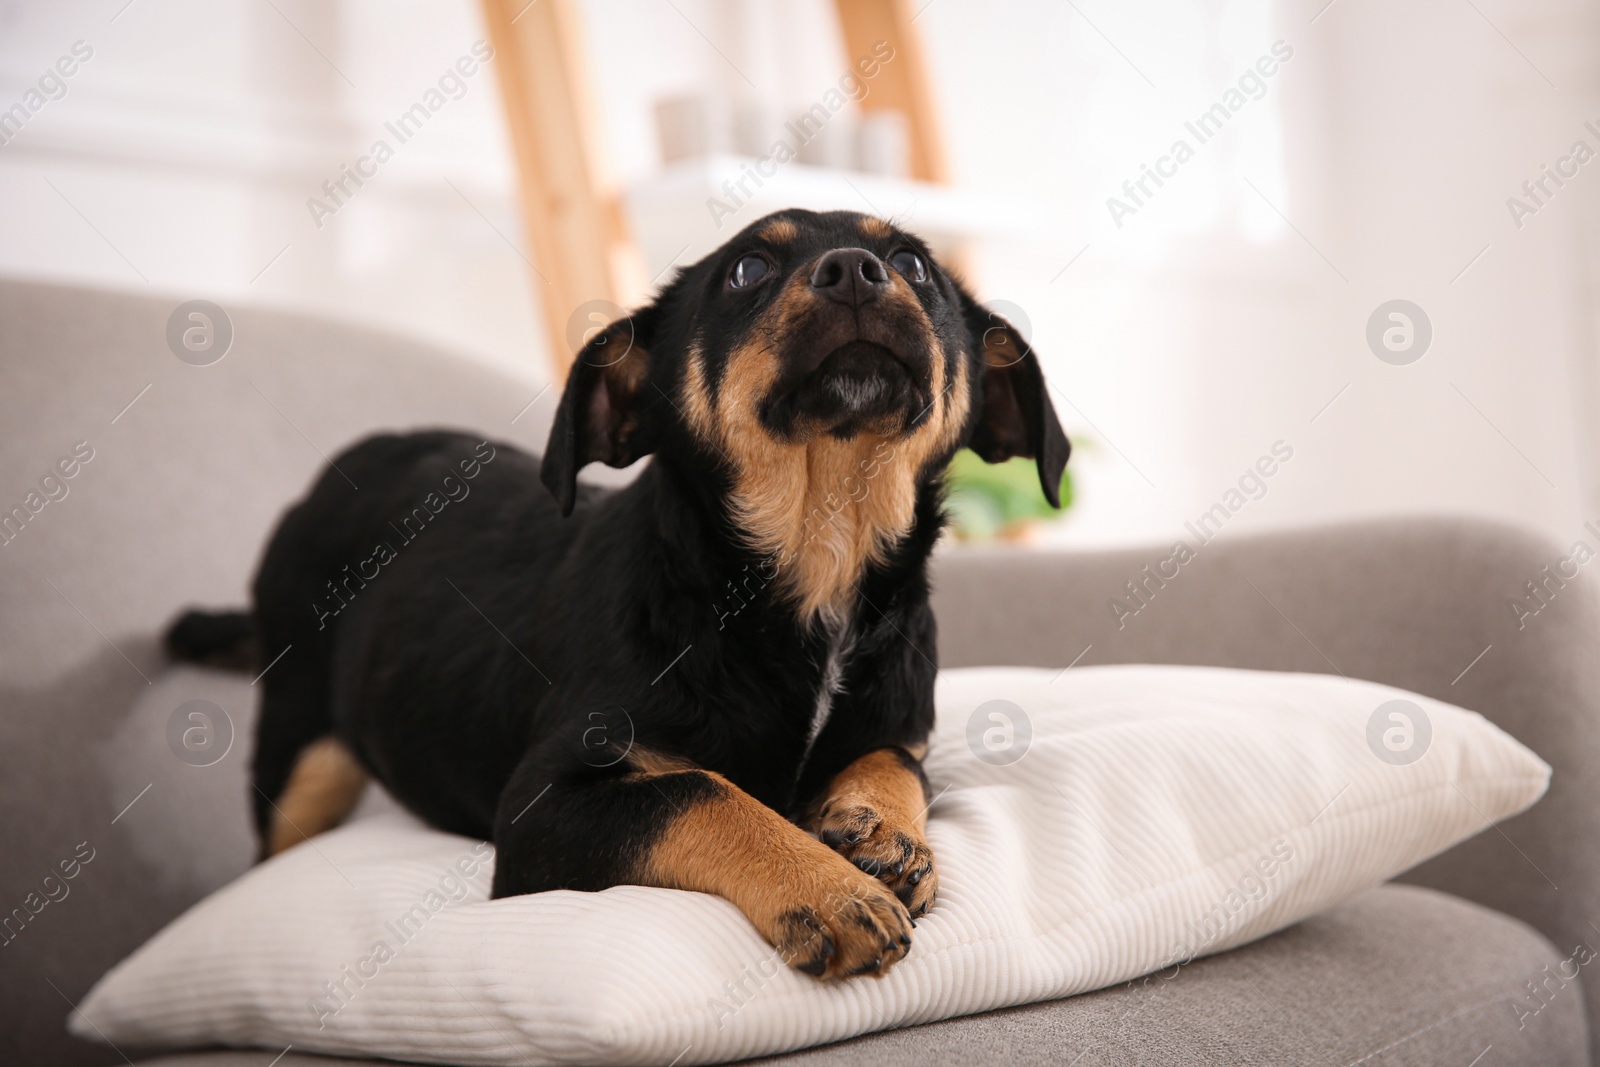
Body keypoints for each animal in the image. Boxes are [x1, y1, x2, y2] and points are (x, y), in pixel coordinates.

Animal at [172, 211, 1062, 985]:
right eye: (748, 270)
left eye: (912, 263)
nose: (855, 271)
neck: (814, 572)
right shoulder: (541, 805)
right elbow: (701, 792)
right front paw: (828, 889)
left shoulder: (901, 726)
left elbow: (895, 762)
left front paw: (880, 832)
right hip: (298, 750)